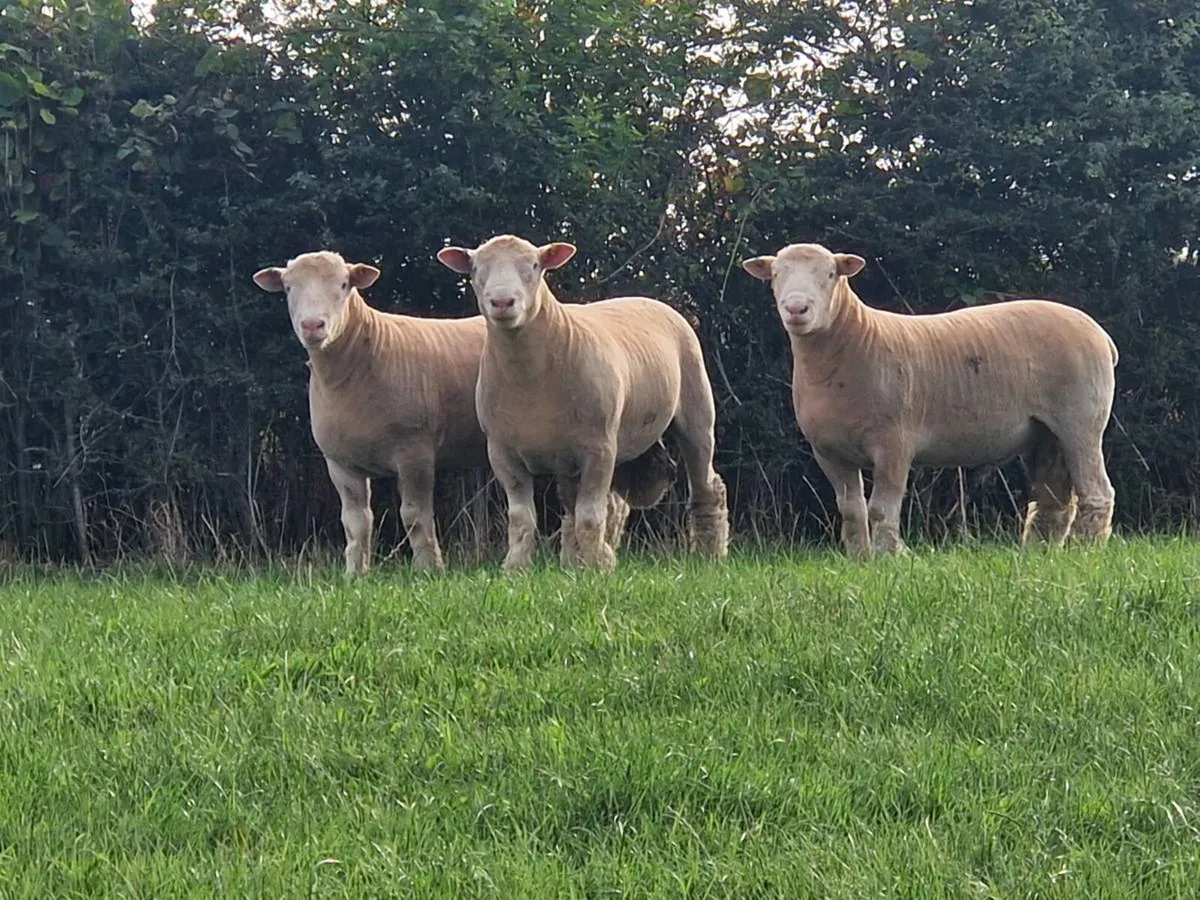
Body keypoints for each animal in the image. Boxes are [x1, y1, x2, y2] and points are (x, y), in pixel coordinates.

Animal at [252, 251, 490, 574]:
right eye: (288, 288)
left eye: (343, 284)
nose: (312, 325)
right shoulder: (340, 462)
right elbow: (356, 522)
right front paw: (355, 574)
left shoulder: (415, 453)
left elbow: (414, 516)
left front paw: (428, 570)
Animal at [436, 234, 730, 571]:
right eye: (475, 269)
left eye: (534, 266)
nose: (502, 302)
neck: (528, 378)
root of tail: (649, 300)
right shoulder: (502, 453)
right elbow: (522, 519)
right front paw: (517, 568)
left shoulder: (599, 448)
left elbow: (590, 516)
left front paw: (596, 568)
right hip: (567, 455)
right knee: (578, 508)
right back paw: (573, 560)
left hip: (696, 414)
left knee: (707, 485)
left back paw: (710, 553)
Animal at [742, 242, 1117, 556]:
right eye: (776, 275)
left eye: (831, 275)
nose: (796, 309)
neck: (853, 342)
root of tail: (1100, 333)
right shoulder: (828, 452)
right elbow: (851, 510)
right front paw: (860, 559)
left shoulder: (894, 443)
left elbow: (880, 509)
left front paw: (891, 557)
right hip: (1044, 433)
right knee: (1054, 498)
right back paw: (1040, 551)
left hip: (1081, 421)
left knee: (1097, 492)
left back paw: (1085, 549)